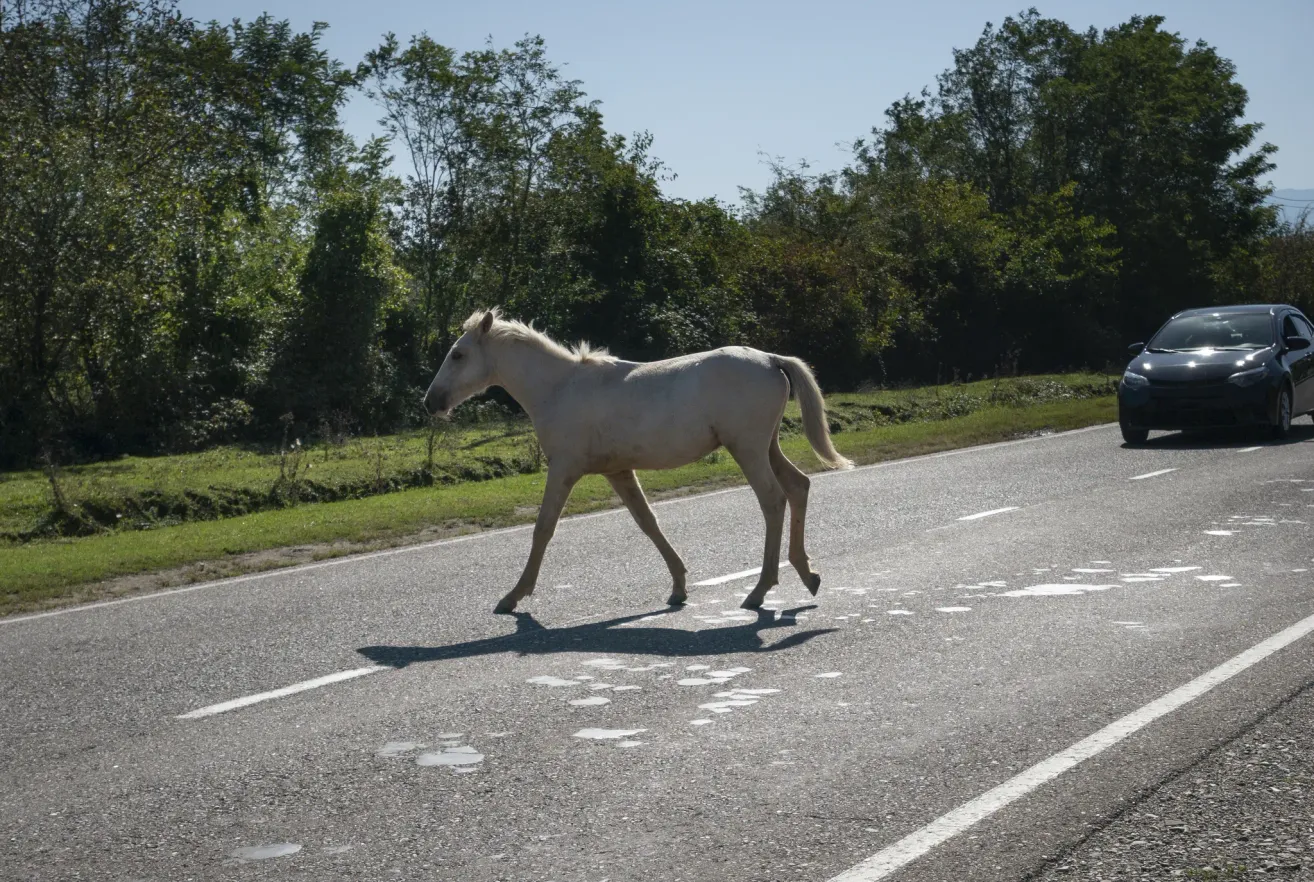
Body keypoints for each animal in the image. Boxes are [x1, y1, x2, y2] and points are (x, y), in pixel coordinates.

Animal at [423, 308, 853, 614]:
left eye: (458, 354)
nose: (431, 402)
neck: (560, 388)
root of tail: (770, 359)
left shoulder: (563, 469)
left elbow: (543, 528)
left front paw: (513, 596)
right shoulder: (618, 471)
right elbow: (648, 522)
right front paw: (678, 587)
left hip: (747, 449)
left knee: (773, 500)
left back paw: (760, 590)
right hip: (767, 447)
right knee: (798, 486)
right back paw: (807, 574)